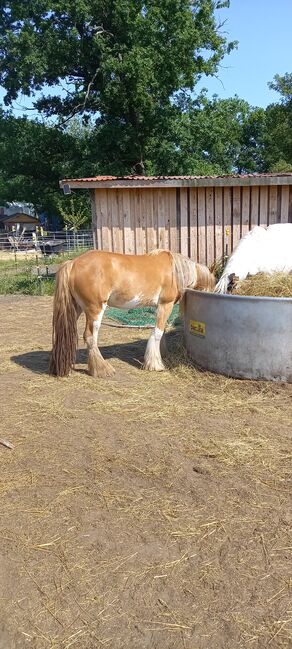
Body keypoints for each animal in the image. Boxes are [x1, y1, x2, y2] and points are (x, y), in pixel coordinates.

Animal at [49, 251, 216, 378]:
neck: (176, 271)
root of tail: (73, 263)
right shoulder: (165, 305)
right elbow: (158, 332)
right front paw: (155, 364)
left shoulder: (157, 307)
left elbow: (159, 331)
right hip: (95, 310)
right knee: (90, 337)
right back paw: (102, 369)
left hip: (76, 308)